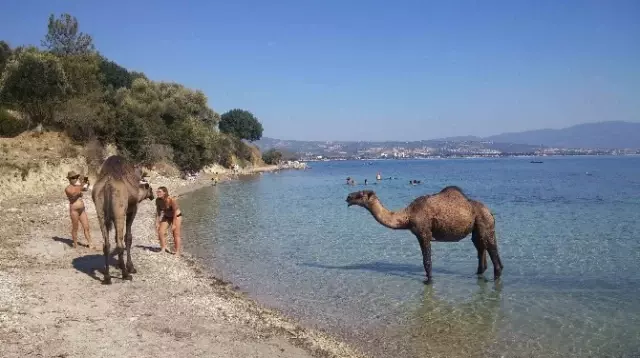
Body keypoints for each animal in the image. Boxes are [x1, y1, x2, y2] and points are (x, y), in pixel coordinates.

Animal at [92, 155, 154, 284]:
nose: (153, 196)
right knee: (120, 244)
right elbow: (128, 237)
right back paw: (126, 275)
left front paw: (121, 265)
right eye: (150, 188)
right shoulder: (132, 210)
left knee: (106, 244)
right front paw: (130, 267)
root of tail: (107, 185)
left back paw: (107, 277)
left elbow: (117, 237)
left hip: (100, 212)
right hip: (119, 210)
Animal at [348, 186, 502, 284]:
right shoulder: (419, 235)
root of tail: (490, 212)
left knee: (493, 252)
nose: (348, 197)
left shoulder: (424, 233)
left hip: (485, 224)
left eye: (360, 194)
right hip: (476, 229)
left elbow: (427, 261)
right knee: (480, 249)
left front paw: (428, 281)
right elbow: (424, 260)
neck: (408, 216)